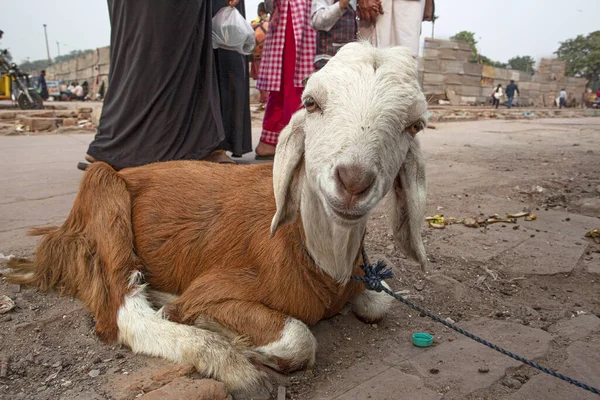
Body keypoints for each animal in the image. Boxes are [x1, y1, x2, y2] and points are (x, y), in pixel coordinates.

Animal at [2, 42, 428, 392]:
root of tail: (60, 235)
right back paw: (221, 356)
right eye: (311, 103)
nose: (353, 181)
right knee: (124, 312)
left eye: (415, 125)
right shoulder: (216, 287)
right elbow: (299, 337)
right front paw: (218, 330)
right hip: (103, 196)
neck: (312, 251)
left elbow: (380, 302)